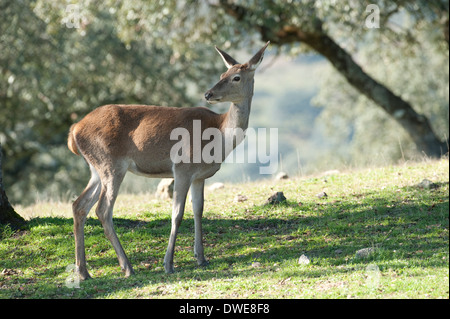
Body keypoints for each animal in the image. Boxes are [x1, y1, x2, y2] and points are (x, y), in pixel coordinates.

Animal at [68, 41, 268, 278]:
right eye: (223, 73)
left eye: (235, 77)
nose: (208, 93)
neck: (219, 136)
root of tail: (73, 130)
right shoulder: (182, 168)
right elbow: (177, 213)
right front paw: (169, 264)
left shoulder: (200, 176)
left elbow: (198, 210)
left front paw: (201, 258)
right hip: (111, 164)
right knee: (103, 209)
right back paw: (127, 267)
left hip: (96, 168)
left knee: (79, 205)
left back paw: (84, 271)